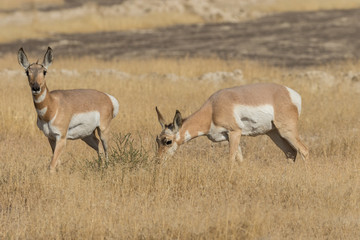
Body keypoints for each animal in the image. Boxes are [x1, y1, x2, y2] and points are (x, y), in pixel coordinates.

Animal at [155, 83, 310, 163]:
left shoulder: (235, 132)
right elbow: (239, 159)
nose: (158, 160)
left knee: (304, 150)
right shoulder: (230, 137)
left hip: (286, 131)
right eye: (157, 140)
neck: (213, 109)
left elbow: (230, 159)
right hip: (274, 133)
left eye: (168, 141)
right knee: (291, 152)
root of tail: (292, 94)